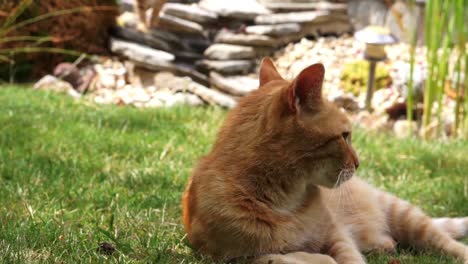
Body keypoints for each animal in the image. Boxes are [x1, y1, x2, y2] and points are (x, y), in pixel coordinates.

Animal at [182, 58, 468, 264]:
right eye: (344, 136)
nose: (358, 163)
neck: (282, 203)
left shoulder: (336, 234)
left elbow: (347, 257)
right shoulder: (228, 257)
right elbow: (280, 257)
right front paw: (307, 256)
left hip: (407, 217)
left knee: (446, 241)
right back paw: (385, 246)